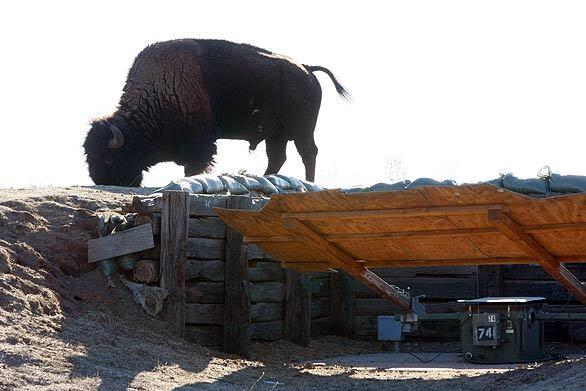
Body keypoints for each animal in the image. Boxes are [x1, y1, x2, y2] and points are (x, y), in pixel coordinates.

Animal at [83, 39, 346, 187]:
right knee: (277, 157)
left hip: (302, 128)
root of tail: (307, 69)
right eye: (89, 156)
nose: (101, 181)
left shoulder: (201, 143)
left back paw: (308, 182)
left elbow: (194, 166)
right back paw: (266, 177)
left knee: (308, 152)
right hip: (277, 134)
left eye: (108, 158)